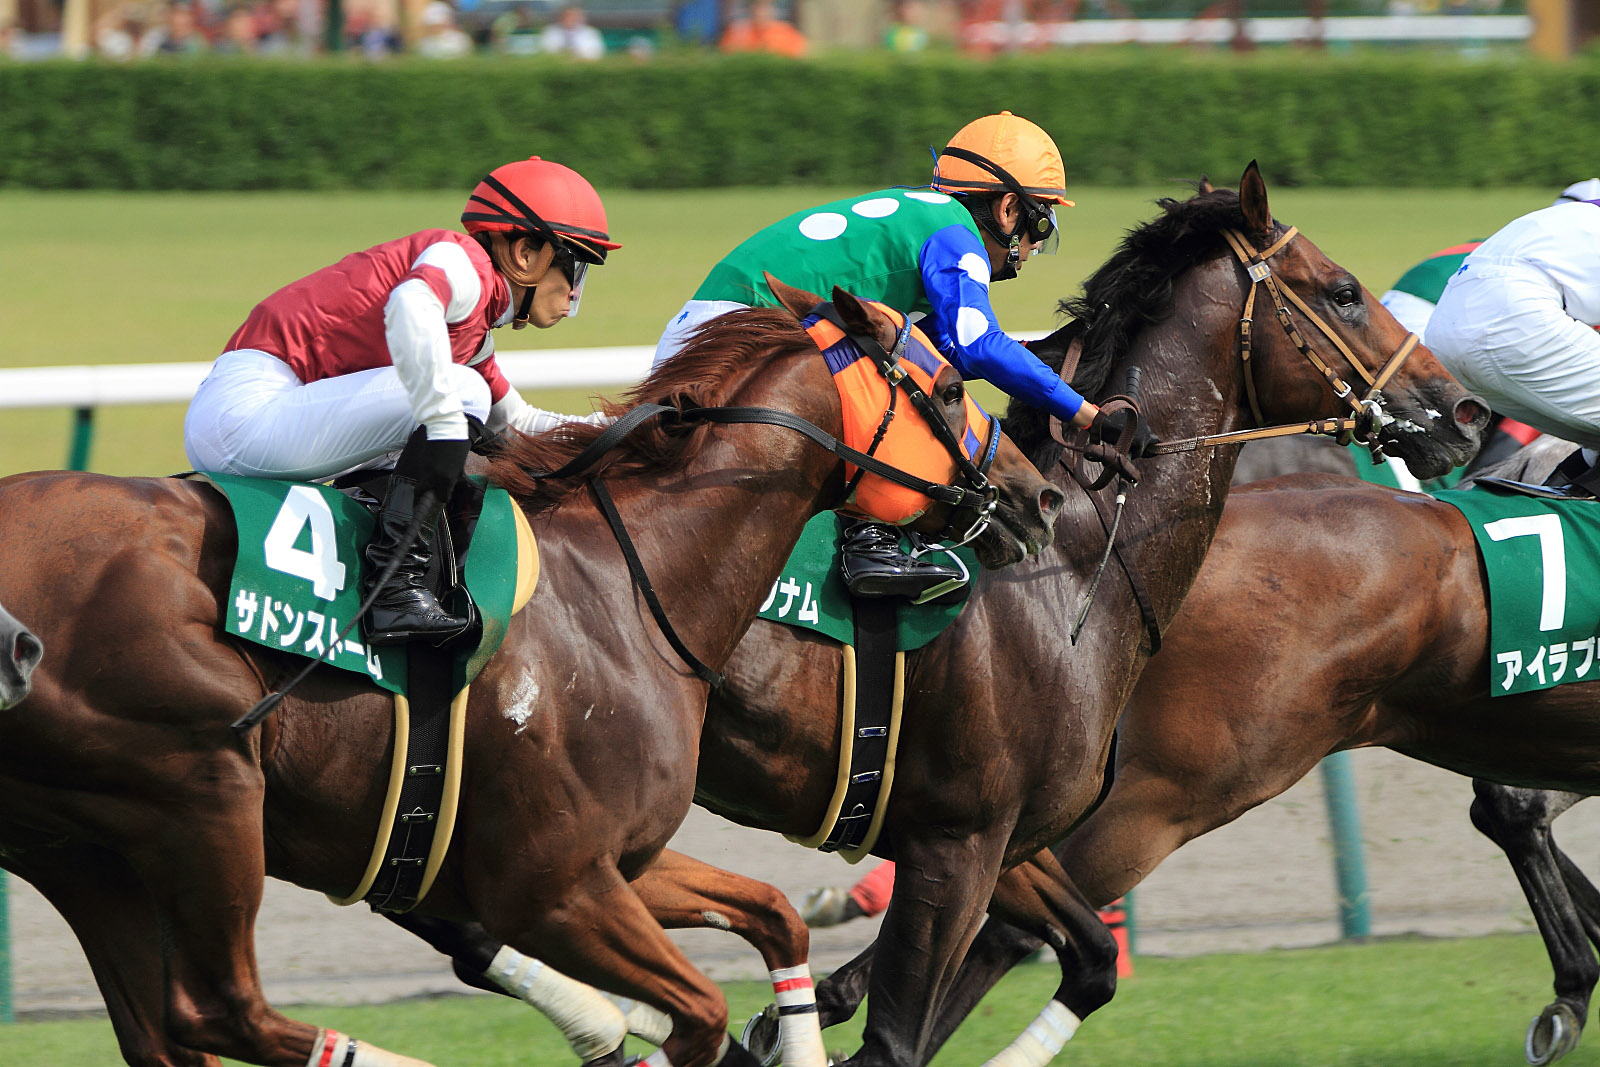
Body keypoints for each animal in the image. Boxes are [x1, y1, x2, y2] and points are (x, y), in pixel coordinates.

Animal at [0, 286, 1061, 1067]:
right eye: (951, 388)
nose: (1036, 493)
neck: (636, 582)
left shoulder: (615, 861)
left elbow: (774, 921)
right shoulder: (548, 885)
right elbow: (701, 1014)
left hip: (84, 848)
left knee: (166, 1032)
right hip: (205, 790)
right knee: (218, 1010)